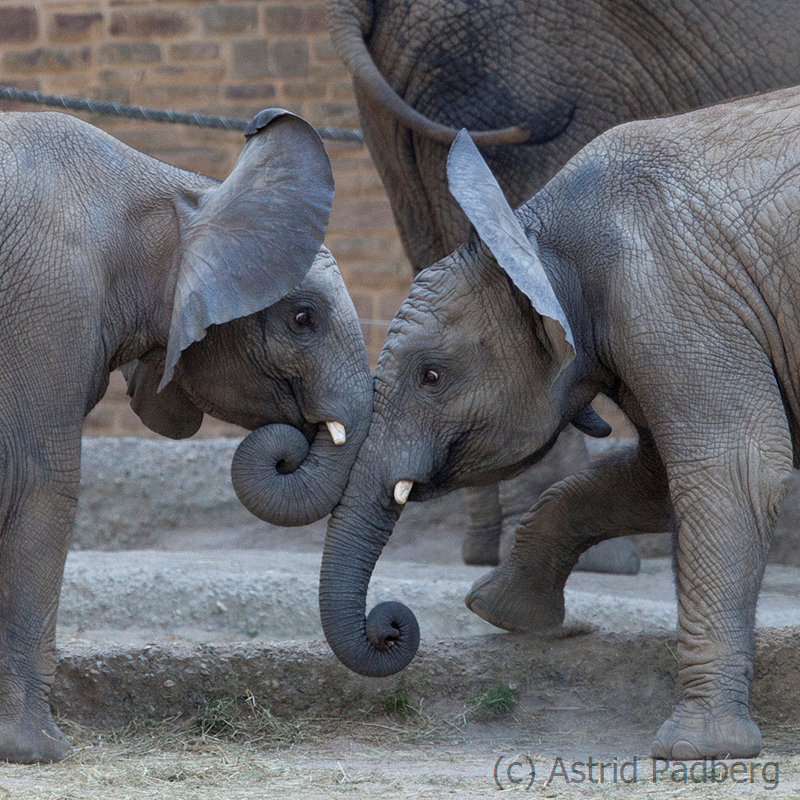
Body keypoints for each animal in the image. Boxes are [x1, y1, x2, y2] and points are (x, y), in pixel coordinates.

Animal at [318, 84, 800, 760]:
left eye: (431, 377)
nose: (391, 623)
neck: (535, 230)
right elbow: (653, 480)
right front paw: (502, 613)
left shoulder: (673, 300)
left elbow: (734, 467)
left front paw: (696, 751)